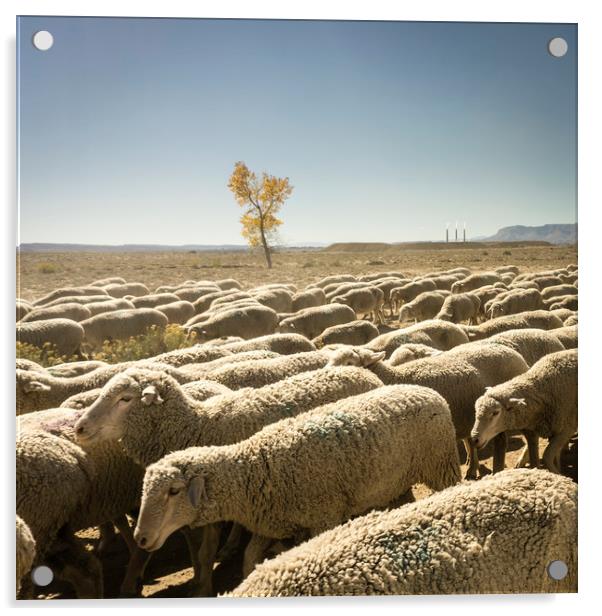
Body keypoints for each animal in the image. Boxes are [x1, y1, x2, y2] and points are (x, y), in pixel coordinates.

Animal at [75, 364, 382, 596]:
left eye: (125, 399)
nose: (79, 428)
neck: (197, 426)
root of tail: (363, 372)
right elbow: (201, 550)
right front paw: (200, 582)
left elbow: (208, 548)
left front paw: (203, 587)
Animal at [132, 384, 460, 576]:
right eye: (145, 490)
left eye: (174, 491)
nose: (140, 538)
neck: (256, 469)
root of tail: (428, 391)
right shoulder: (271, 522)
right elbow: (249, 557)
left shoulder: (324, 518)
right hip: (395, 481)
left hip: (442, 466)